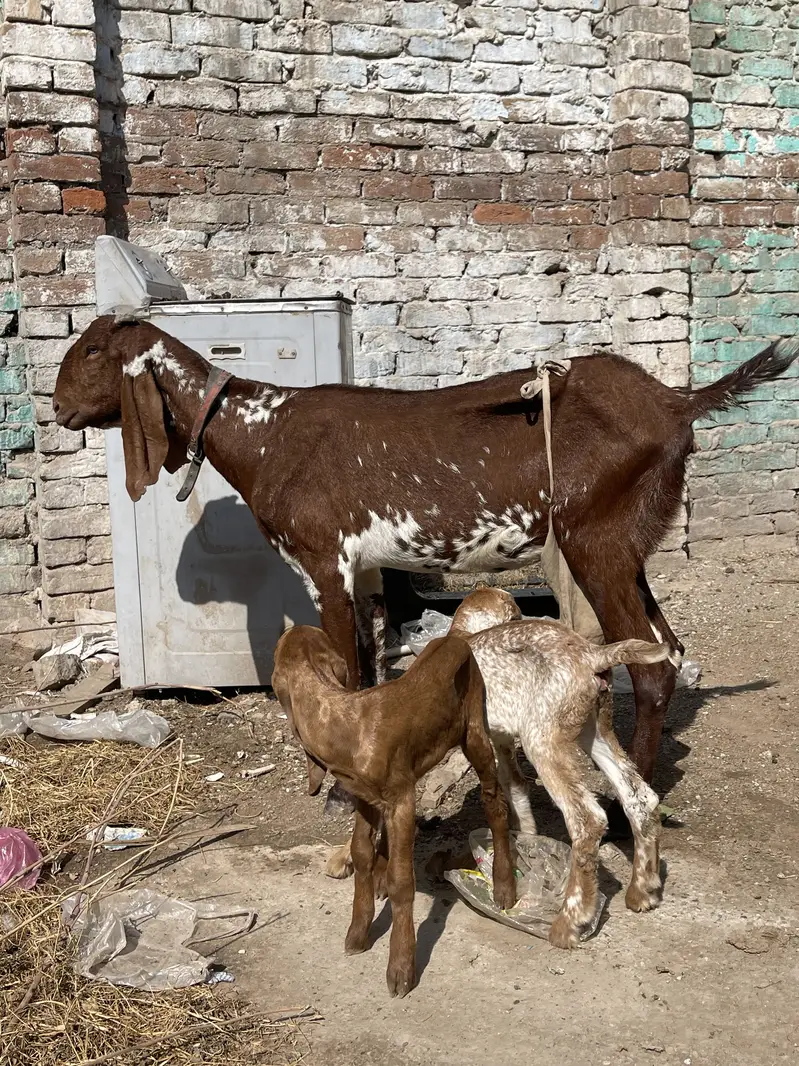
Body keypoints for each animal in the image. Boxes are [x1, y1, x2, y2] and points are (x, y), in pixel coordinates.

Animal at [52, 316, 798, 797]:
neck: (262, 433)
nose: (56, 407)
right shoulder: (367, 569)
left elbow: (344, 667)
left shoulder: (325, 559)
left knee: (650, 666)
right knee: (667, 648)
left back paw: (630, 796)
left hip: (596, 541)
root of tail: (676, 400)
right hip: (628, 543)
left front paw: (329, 781)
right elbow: (369, 665)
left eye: (92, 351)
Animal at [271, 624, 515, 996]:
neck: (346, 723)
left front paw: (401, 966)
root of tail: (454, 638)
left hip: (475, 728)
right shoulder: (366, 796)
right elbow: (360, 852)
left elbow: (403, 882)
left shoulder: (401, 798)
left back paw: (503, 884)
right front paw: (358, 933)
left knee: (494, 801)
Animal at [450, 588, 668, 947]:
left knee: (587, 819)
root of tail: (593, 655)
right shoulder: (502, 738)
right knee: (640, 798)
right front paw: (528, 843)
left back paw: (571, 921)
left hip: (544, 739)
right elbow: (516, 787)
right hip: (594, 727)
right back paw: (643, 890)